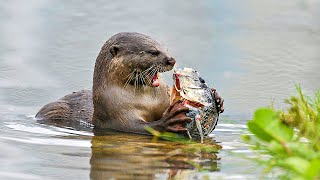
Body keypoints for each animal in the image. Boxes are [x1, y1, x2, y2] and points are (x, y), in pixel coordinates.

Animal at [35, 32, 225, 134]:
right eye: (153, 52)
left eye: (164, 48)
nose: (171, 60)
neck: (147, 101)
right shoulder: (114, 113)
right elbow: (135, 126)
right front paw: (168, 121)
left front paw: (217, 99)